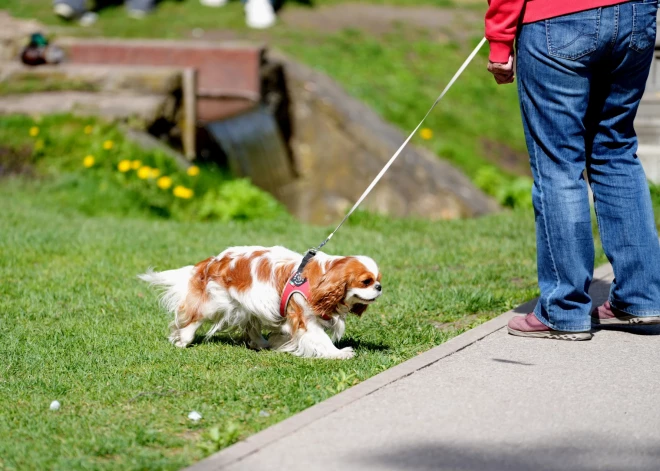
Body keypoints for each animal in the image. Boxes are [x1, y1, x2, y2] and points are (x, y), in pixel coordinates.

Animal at [142, 245, 384, 360]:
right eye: (366, 281)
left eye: (378, 279)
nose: (379, 287)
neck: (324, 276)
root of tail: (212, 261)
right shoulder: (304, 317)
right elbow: (320, 338)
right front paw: (338, 353)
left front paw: (280, 342)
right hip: (216, 301)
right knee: (194, 318)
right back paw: (184, 339)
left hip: (246, 304)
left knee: (251, 326)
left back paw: (262, 343)